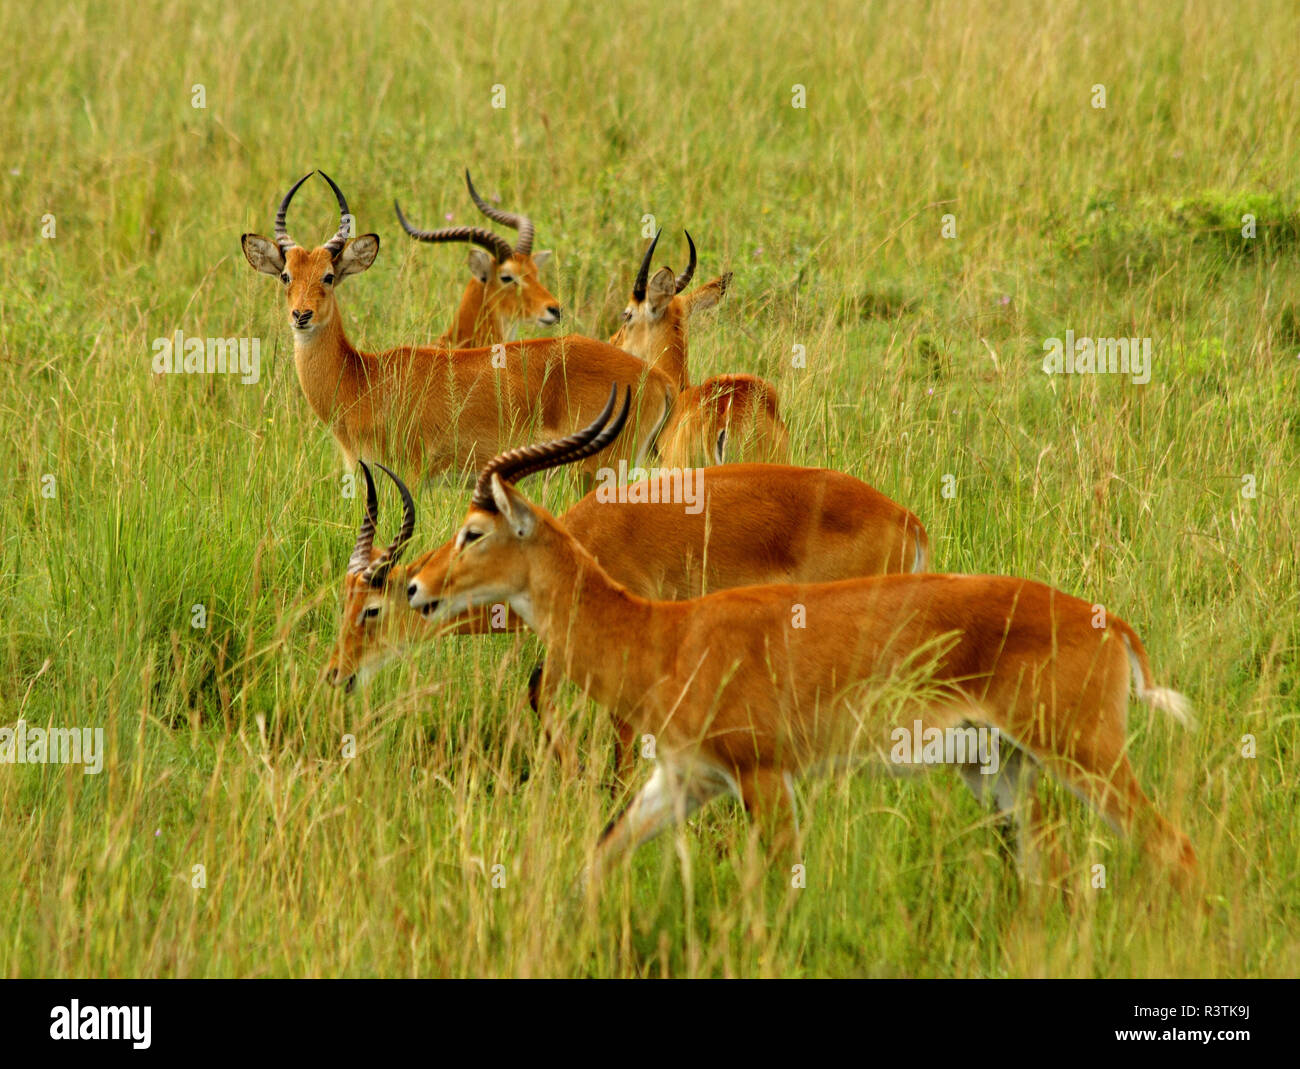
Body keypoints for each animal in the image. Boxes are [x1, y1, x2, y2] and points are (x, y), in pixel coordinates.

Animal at [408, 392, 1196, 889]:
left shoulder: (764, 778)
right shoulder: (682, 779)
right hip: (1001, 769)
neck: (662, 634)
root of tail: (1109, 624)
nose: (416, 585)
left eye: (473, 530)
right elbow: (596, 860)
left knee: (1174, 849)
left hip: (1082, 756)